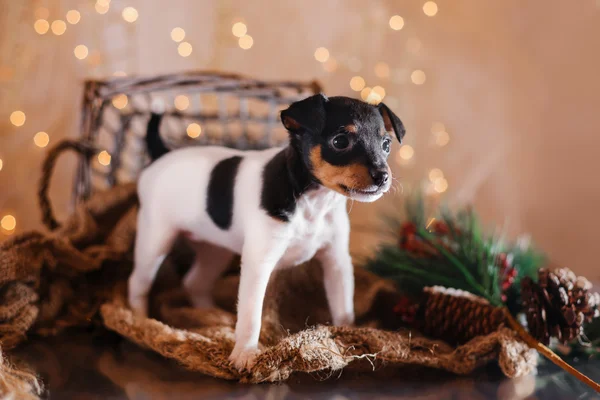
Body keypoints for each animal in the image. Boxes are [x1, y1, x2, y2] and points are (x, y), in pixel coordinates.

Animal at [128, 94, 406, 368]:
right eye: (340, 141)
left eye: (386, 144)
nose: (382, 177)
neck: (313, 202)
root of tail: (162, 156)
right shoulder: (258, 264)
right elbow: (252, 314)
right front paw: (245, 354)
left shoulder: (336, 262)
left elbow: (343, 304)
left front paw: (348, 333)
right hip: (156, 241)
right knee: (139, 283)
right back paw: (140, 321)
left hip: (215, 250)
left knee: (195, 281)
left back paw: (212, 316)